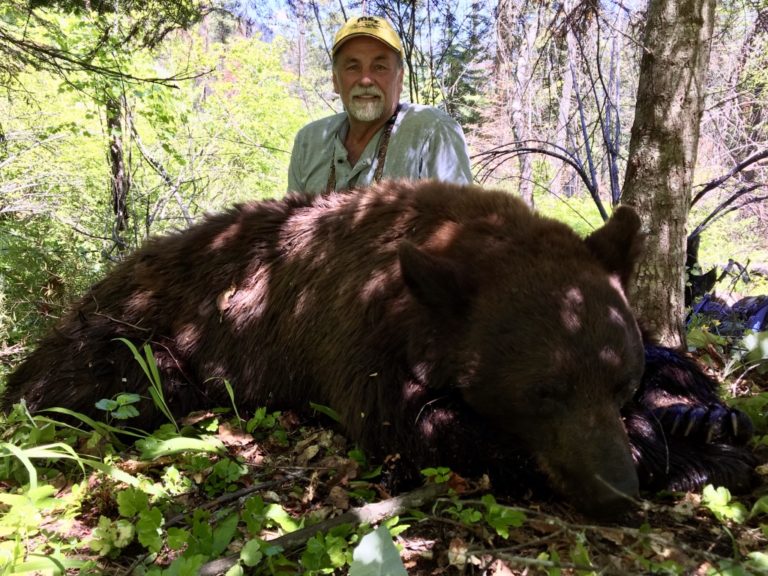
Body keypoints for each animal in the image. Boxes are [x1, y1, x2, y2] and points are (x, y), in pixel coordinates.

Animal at [1, 180, 756, 516]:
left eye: (619, 380)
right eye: (544, 392)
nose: (615, 488)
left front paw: (697, 419)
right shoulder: (355, 333)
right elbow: (412, 427)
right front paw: (670, 449)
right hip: (125, 336)